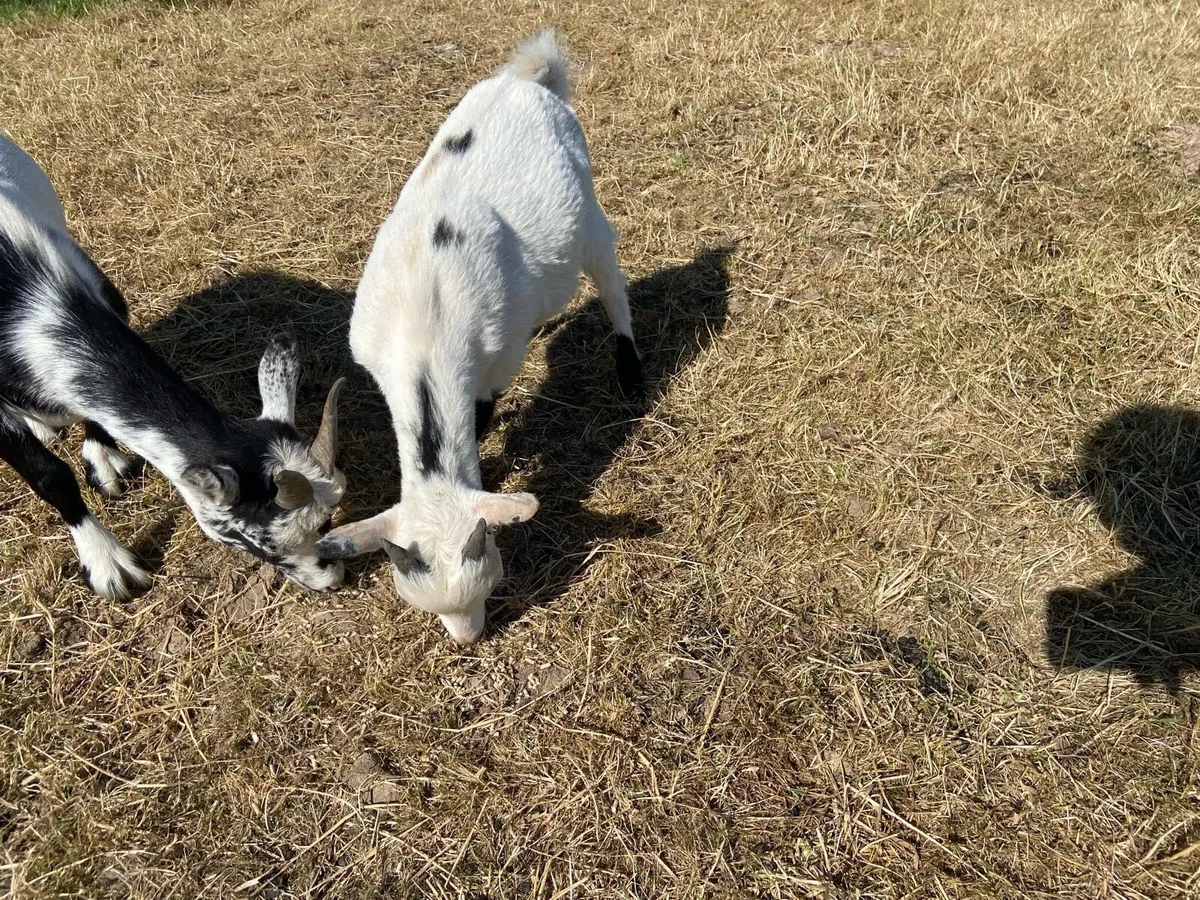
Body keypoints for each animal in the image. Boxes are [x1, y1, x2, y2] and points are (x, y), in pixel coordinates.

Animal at [0, 133, 347, 599]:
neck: (26, 300)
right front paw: (108, 564)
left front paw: (103, 461)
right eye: (254, 539)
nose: (330, 578)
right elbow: (50, 475)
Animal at [316, 30, 643, 645]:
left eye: (489, 563)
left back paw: (631, 373)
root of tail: (527, 80)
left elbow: (485, 409)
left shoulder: (497, 355)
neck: (420, 334)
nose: (468, 639)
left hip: (589, 217)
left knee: (612, 284)